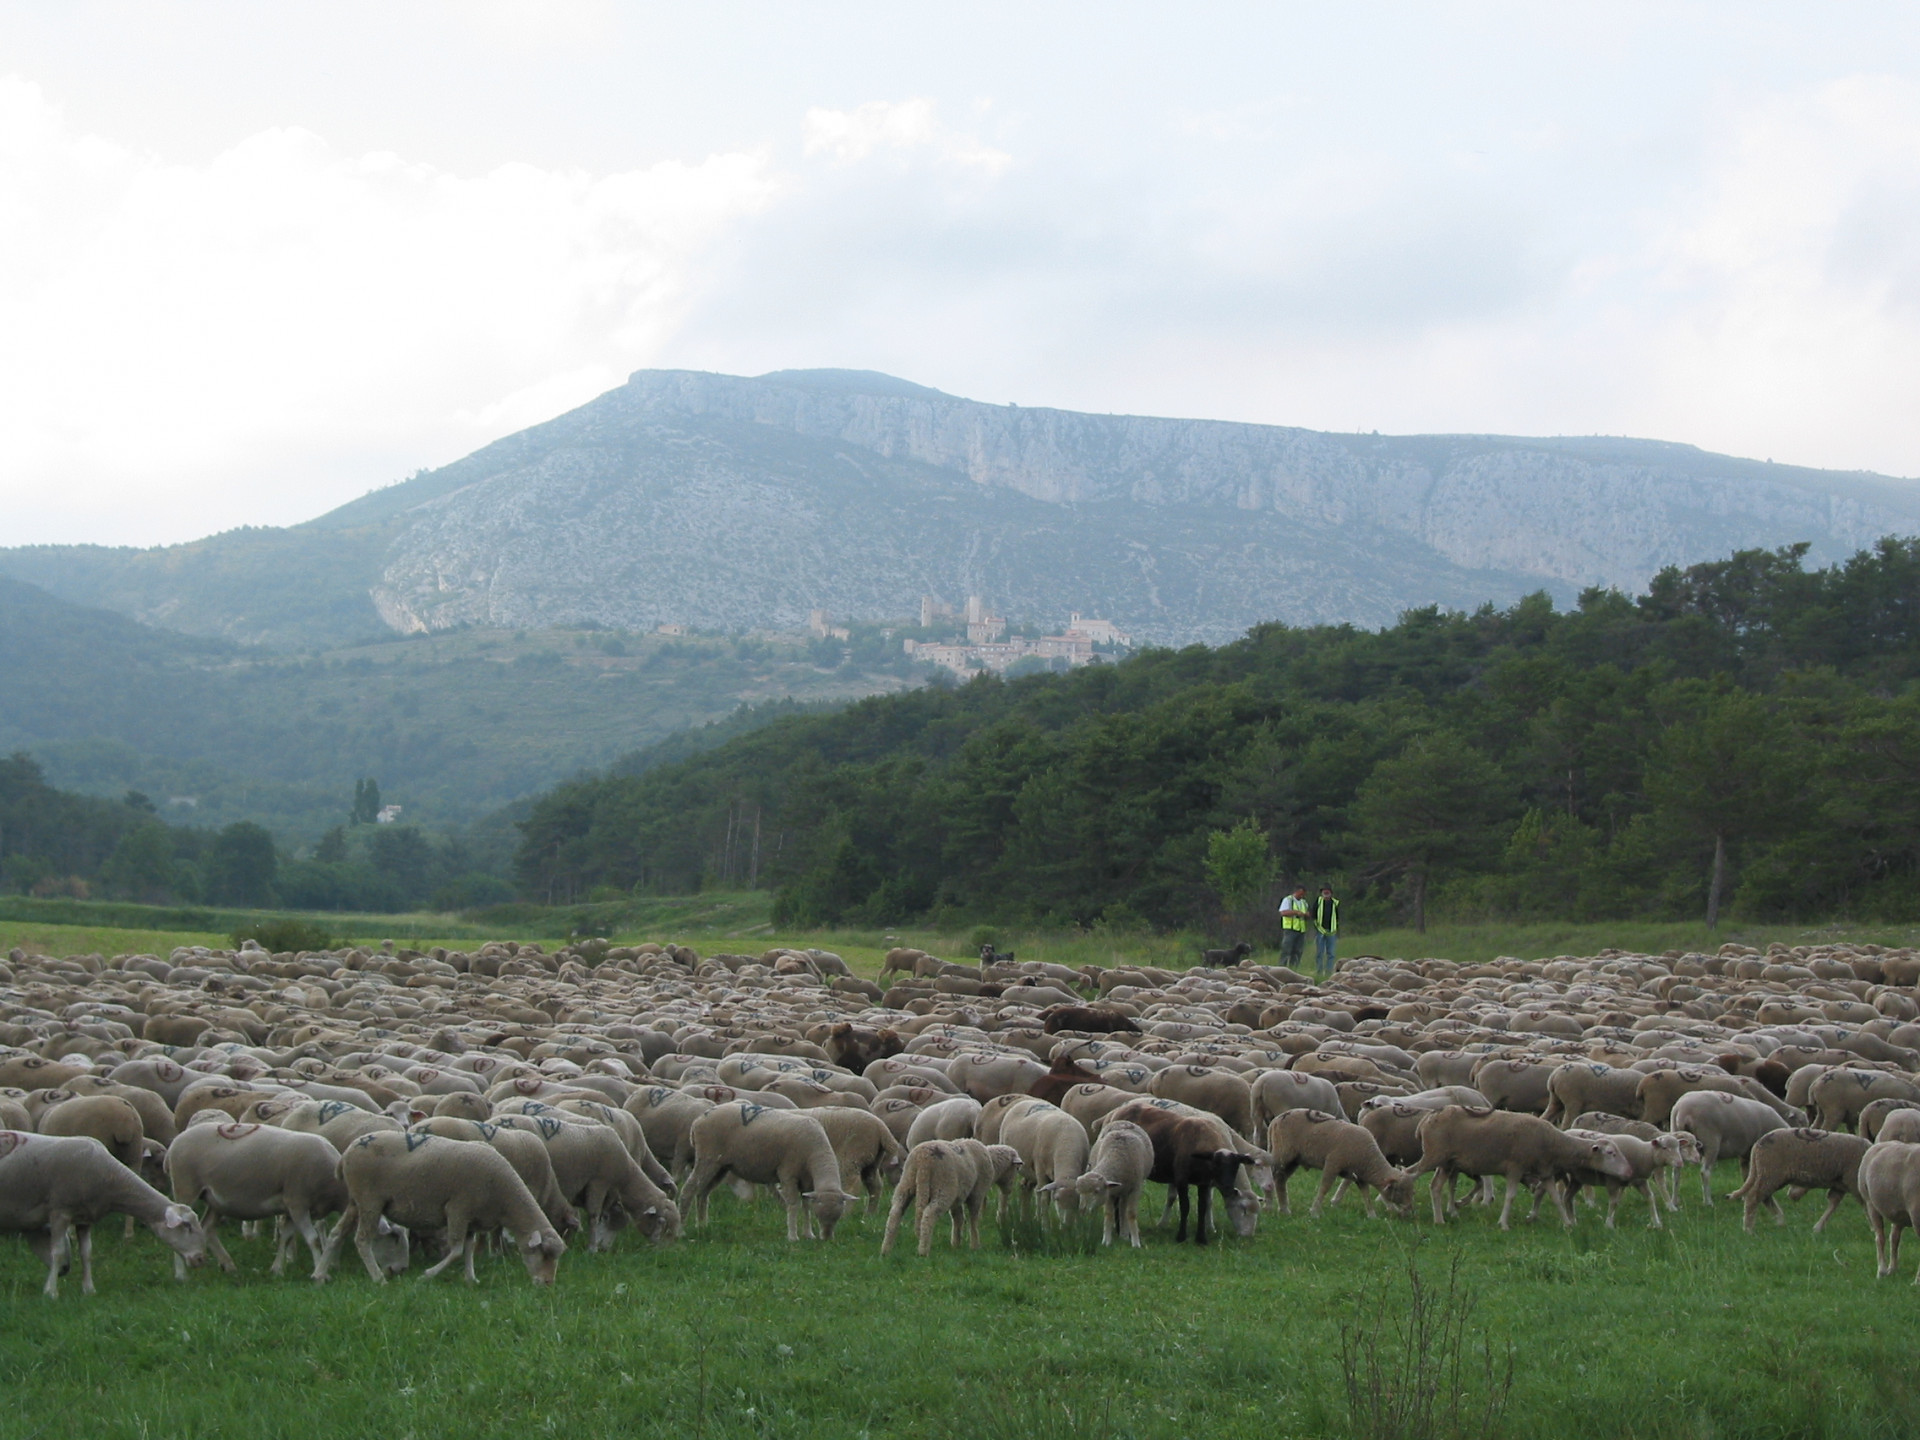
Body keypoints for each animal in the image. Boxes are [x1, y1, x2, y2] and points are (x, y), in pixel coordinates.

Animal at [0, 1136, 208, 1305]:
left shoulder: (84, 1219)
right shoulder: (60, 1211)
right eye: (187, 1226)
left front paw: (89, 1290)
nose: (200, 1259)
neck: (110, 1178)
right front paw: (51, 1293)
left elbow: (87, 1253)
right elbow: (57, 1253)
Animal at [318, 1136, 560, 1282]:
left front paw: (471, 1278)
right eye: (543, 1253)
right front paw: (426, 1275)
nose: (547, 1283)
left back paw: (320, 1274)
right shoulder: (457, 1209)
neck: (505, 1197)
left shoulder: (471, 1219)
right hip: (370, 1201)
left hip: (356, 1202)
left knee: (336, 1234)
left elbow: (468, 1249)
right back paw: (378, 1278)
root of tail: (347, 1154)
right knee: (361, 1240)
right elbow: (456, 1251)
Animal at [679, 1105, 852, 1244]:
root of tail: (698, 1120)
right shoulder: (788, 1173)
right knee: (688, 1190)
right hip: (707, 1158)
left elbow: (806, 1206)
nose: (827, 1238)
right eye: (820, 1216)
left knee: (703, 1193)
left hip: (721, 1166)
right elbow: (794, 1204)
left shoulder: (807, 1183)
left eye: (838, 1217)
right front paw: (793, 1236)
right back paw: (681, 1230)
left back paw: (702, 1225)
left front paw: (808, 1234)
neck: (816, 1154)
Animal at [1267, 1113, 1420, 1221]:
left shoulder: (1359, 1175)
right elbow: (1325, 1187)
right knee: (1276, 1177)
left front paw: (1372, 1215)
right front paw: (1315, 1212)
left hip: (1294, 1160)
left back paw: (1284, 1209)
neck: (1369, 1159)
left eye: (1413, 1192)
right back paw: (1275, 1207)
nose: (1410, 1212)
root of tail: (1275, 1121)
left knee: (1280, 1180)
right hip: (1283, 1154)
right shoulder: (1333, 1163)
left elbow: (1366, 1195)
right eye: (1400, 1190)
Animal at [1720, 1136, 1866, 1236]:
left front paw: (1818, 1228)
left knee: (1764, 1197)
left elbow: (1833, 1202)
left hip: (1769, 1174)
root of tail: (1757, 1145)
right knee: (1753, 1197)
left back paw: (1779, 1220)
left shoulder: (1841, 1184)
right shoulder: (1853, 1182)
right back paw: (1749, 1229)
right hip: (1771, 1172)